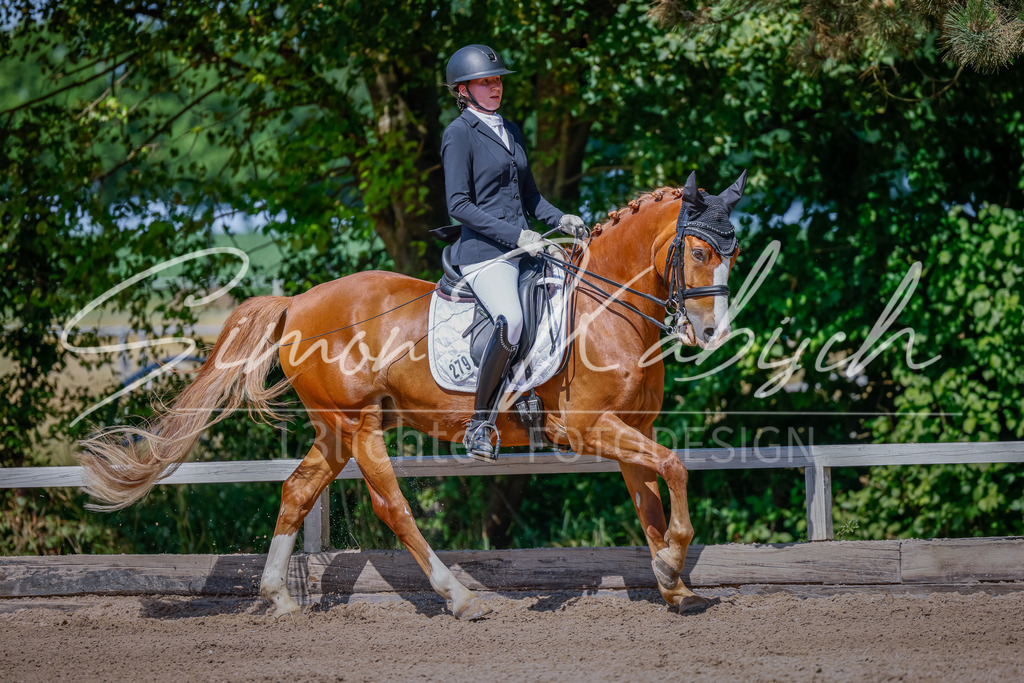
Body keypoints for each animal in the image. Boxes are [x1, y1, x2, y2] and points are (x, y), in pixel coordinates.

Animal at [79, 170, 746, 619]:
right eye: (698, 250)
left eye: (734, 254)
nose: (711, 333)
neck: (607, 312)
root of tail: (297, 302)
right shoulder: (587, 427)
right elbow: (675, 468)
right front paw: (673, 564)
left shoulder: (632, 427)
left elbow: (652, 499)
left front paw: (672, 582)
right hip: (359, 426)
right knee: (392, 507)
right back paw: (460, 598)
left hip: (336, 429)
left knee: (296, 491)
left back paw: (280, 600)